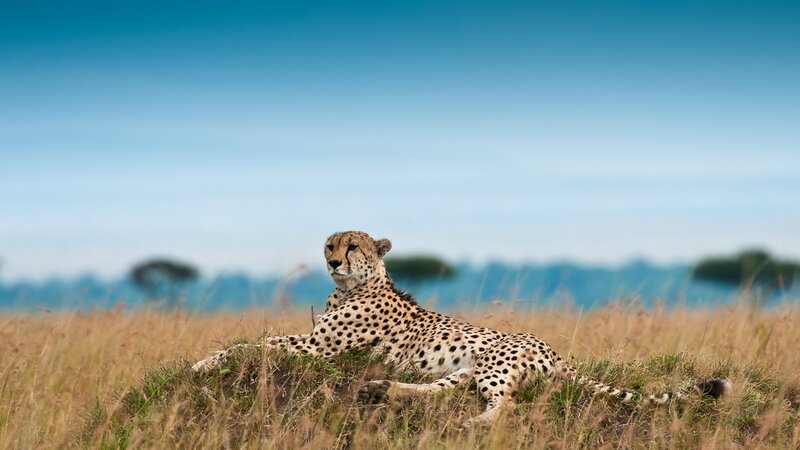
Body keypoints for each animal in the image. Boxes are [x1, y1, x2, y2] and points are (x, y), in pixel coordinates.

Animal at [192, 230, 732, 426]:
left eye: (352, 246)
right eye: (330, 244)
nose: (331, 261)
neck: (353, 287)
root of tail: (557, 353)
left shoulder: (318, 347)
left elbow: (255, 344)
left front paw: (202, 362)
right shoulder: (314, 341)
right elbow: (257, 342)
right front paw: (206, 360)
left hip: (492, 364)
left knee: (505, 405)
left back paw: (469, 424)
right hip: (468, 368)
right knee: (442, 390)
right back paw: (382, 389)